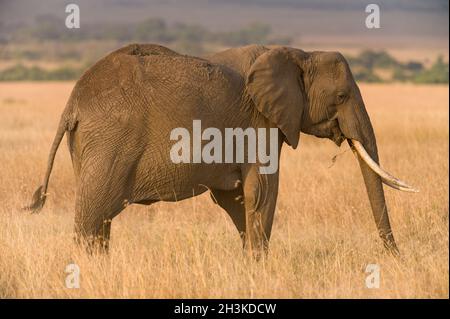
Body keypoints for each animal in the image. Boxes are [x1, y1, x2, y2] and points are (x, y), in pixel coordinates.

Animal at [26, 43, 416, 258]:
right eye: (341, 96)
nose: (396, 256)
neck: (299, 54)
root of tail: (72, 103)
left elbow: (237, 199)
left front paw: (249, 263)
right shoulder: (260, 122)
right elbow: (263, 191)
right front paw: (260, 267)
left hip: (90, 145)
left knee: (100, 219)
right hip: (109, 141)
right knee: (93, 215)